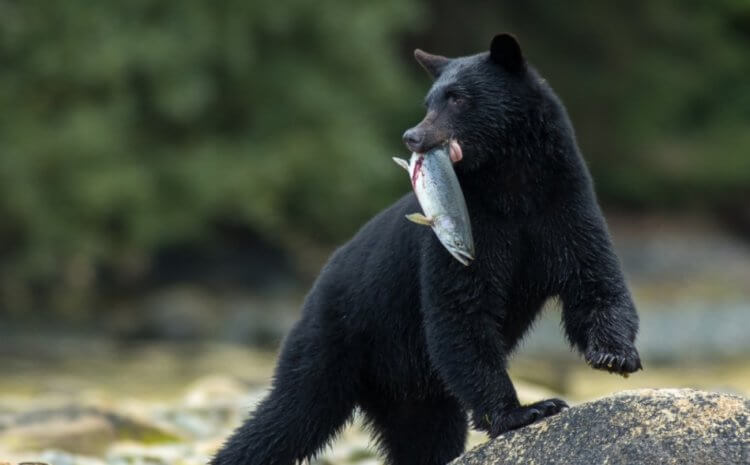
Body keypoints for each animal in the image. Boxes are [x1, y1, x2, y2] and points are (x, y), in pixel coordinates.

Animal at [212, 32, 640, 464]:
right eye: (428, 102)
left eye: (457, 97)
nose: (412, 137)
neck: (512, 187)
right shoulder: (466, 230)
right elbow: (460, 309)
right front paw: (525, 410)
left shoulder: (562, 205)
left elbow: (593, 279)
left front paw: (615, 355)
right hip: (334, 339)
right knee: (290, 415)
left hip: (414, 390)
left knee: (426, 438)